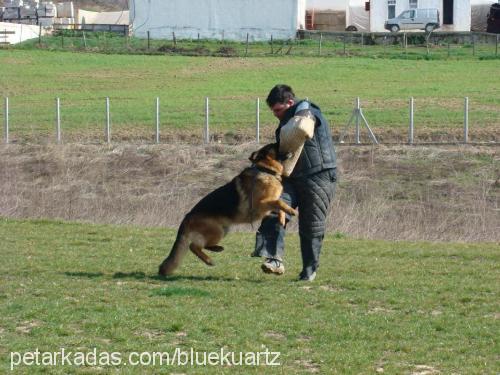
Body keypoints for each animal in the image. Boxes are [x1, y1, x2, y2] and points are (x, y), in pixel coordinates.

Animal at [158, 143, 294, 276]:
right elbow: (278, 201)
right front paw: (292, 211)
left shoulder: (268, 205)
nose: (290, 149)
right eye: (275, 145)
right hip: (217, 230)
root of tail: (187, 216)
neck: (265, 170)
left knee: (199, 245)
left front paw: (283, 218)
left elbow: (280, 205)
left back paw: (216, 249)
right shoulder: (260, 205)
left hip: (224, 230)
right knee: (193, 246)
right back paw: (209, 259)